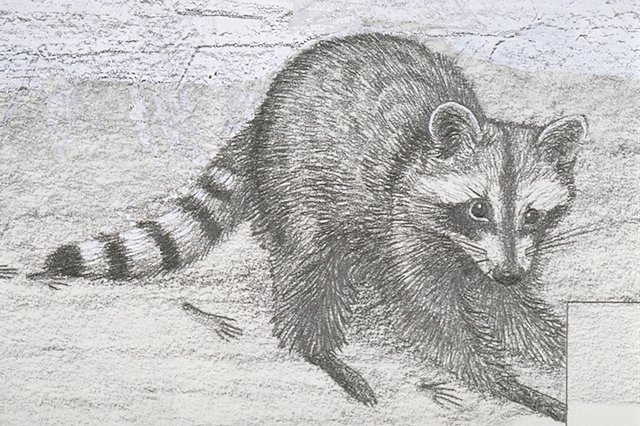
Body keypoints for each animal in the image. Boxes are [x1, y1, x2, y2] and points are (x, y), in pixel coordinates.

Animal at [36, 33, 587, 422]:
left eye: (532, 214)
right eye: (477, 209)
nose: (511, 274)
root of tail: (264, 112)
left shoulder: (499, 256)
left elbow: (513, 310)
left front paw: (559, 347)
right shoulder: (405, 233)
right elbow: (435, 323)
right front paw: (508, 384)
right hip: (296, 188)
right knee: (310, 270)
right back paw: (318, 349)